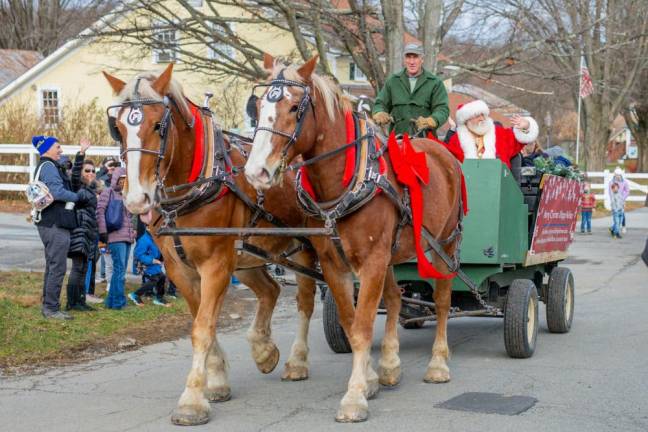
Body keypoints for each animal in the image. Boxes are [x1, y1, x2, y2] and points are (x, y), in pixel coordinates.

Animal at [101, 66, 318, 426]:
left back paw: (297, 361)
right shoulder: (179, 268)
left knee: (305, 300)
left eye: (158, 125)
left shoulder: (215, 264)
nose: (136, 199)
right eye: (117, 128)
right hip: (247, 256)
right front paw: (216, 381)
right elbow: (202, 320)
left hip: (305, 249)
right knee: (270, 290)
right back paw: (263, 349)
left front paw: (192, 401)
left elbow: (203, 327)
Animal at [246, 54, 464, 422]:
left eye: (294, 108)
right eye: (259, 105)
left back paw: (438, 363)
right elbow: (351, 322)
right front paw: (371, 379)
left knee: (443, 302)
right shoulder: (335, 263)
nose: (256, 171)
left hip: (443, 246)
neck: (347, 182)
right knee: (394, 299)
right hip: (391, 255)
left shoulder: (372, 261)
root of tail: (442, 151)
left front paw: (355, 395)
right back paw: (390, 364)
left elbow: (362, 327)